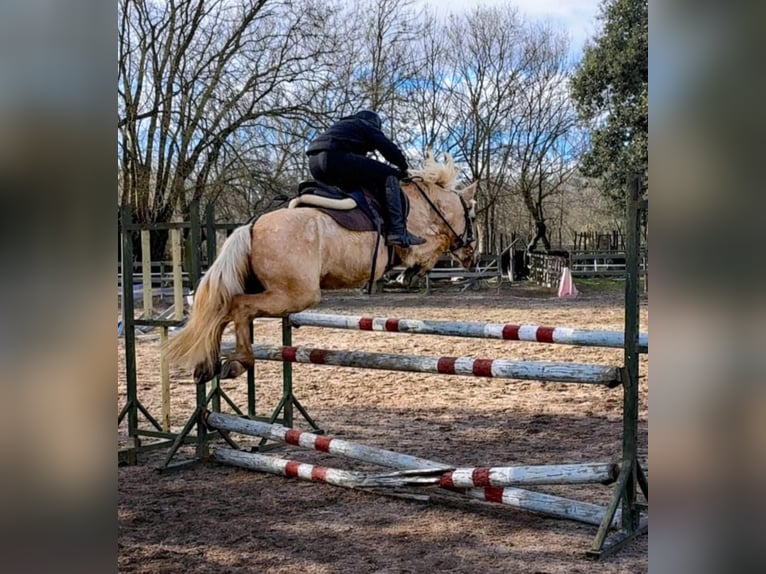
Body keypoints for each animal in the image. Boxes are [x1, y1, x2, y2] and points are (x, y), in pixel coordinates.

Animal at [162, 153, 478, 384]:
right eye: (473, 215)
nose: (472, 256)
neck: (424, 205)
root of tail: (250, 227)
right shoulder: (415, 243)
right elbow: (435, 246)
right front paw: (408, 275)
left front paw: (407, 276)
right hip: (297, 295)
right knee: (238, 306)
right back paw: (239, 363)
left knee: (222, 309)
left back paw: (207, 366)